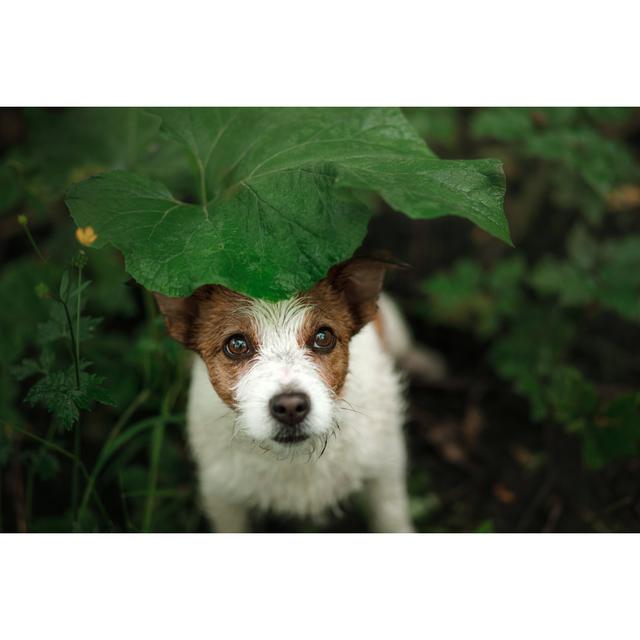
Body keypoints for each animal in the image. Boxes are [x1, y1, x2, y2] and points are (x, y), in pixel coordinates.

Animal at [156, 258, 444, 532]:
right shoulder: (222, 495)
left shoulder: (385, 465)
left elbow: (391, 516)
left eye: (323, 337)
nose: (291, 407)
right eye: (236, 345)